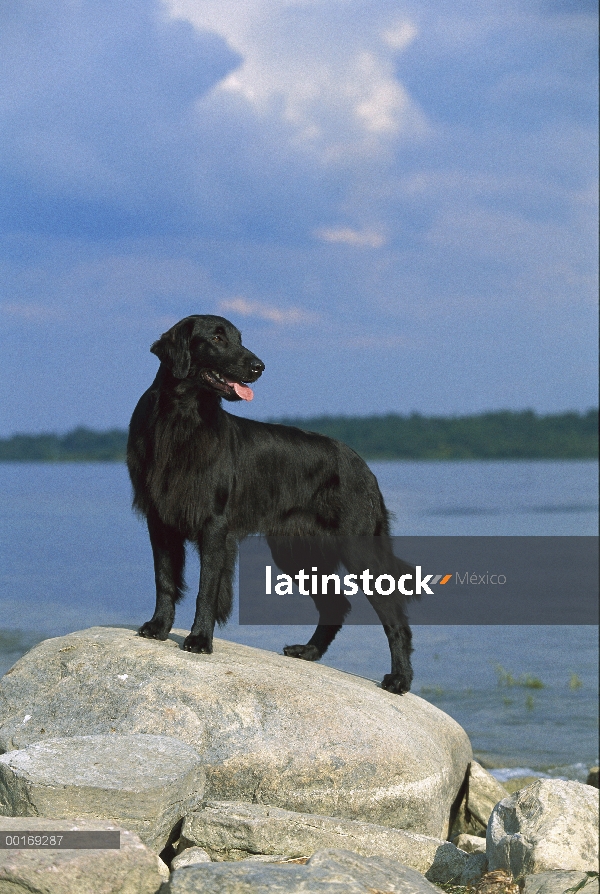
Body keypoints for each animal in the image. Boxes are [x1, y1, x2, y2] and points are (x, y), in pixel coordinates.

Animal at [128, 318, 414, 696]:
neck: (181, 417)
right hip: (298, 553)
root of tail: (363, 466)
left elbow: (207, 588)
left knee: (393, 614)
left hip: (357, 549)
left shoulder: (214, 524)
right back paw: (308, 651)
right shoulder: (159, 520)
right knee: (336, 605)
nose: (258, 367)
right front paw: (158, 627)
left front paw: (200, 639)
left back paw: (399, 679)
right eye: (217, 337)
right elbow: (164, 579)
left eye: (239, 338)